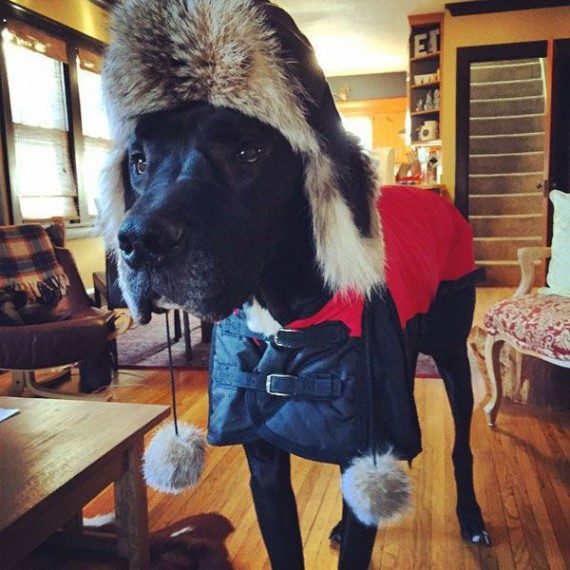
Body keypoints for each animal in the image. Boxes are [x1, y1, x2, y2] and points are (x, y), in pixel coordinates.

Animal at [100, 1, 490, 568]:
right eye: (139, 160)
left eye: (248, 152)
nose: (137, 242)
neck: (282, 317)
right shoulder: (264, 465)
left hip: (452, 354)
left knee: (461, 443)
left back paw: (472, 516)